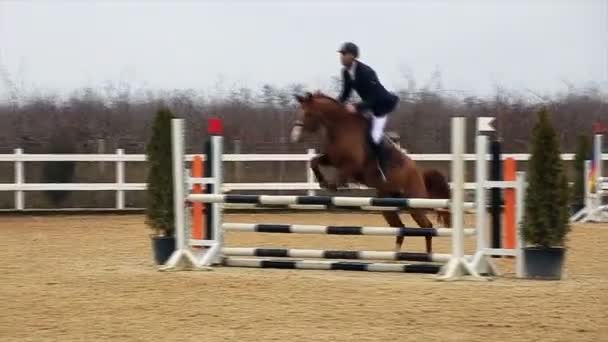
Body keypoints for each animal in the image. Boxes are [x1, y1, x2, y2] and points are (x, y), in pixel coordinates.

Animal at [290, 92, 452, 252]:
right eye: (299, 112)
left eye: (309, 113)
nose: (295, 136)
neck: (342, 127)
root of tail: (420, 173)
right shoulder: (332, 158)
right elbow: (314, 161)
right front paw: (323, 182)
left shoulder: (353, 165)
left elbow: (342, 174)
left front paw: (336, 185)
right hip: (387, 205)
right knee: (400, 227)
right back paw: (395, 253)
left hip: (415, 203)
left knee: (427, 227)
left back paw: (428, 254)